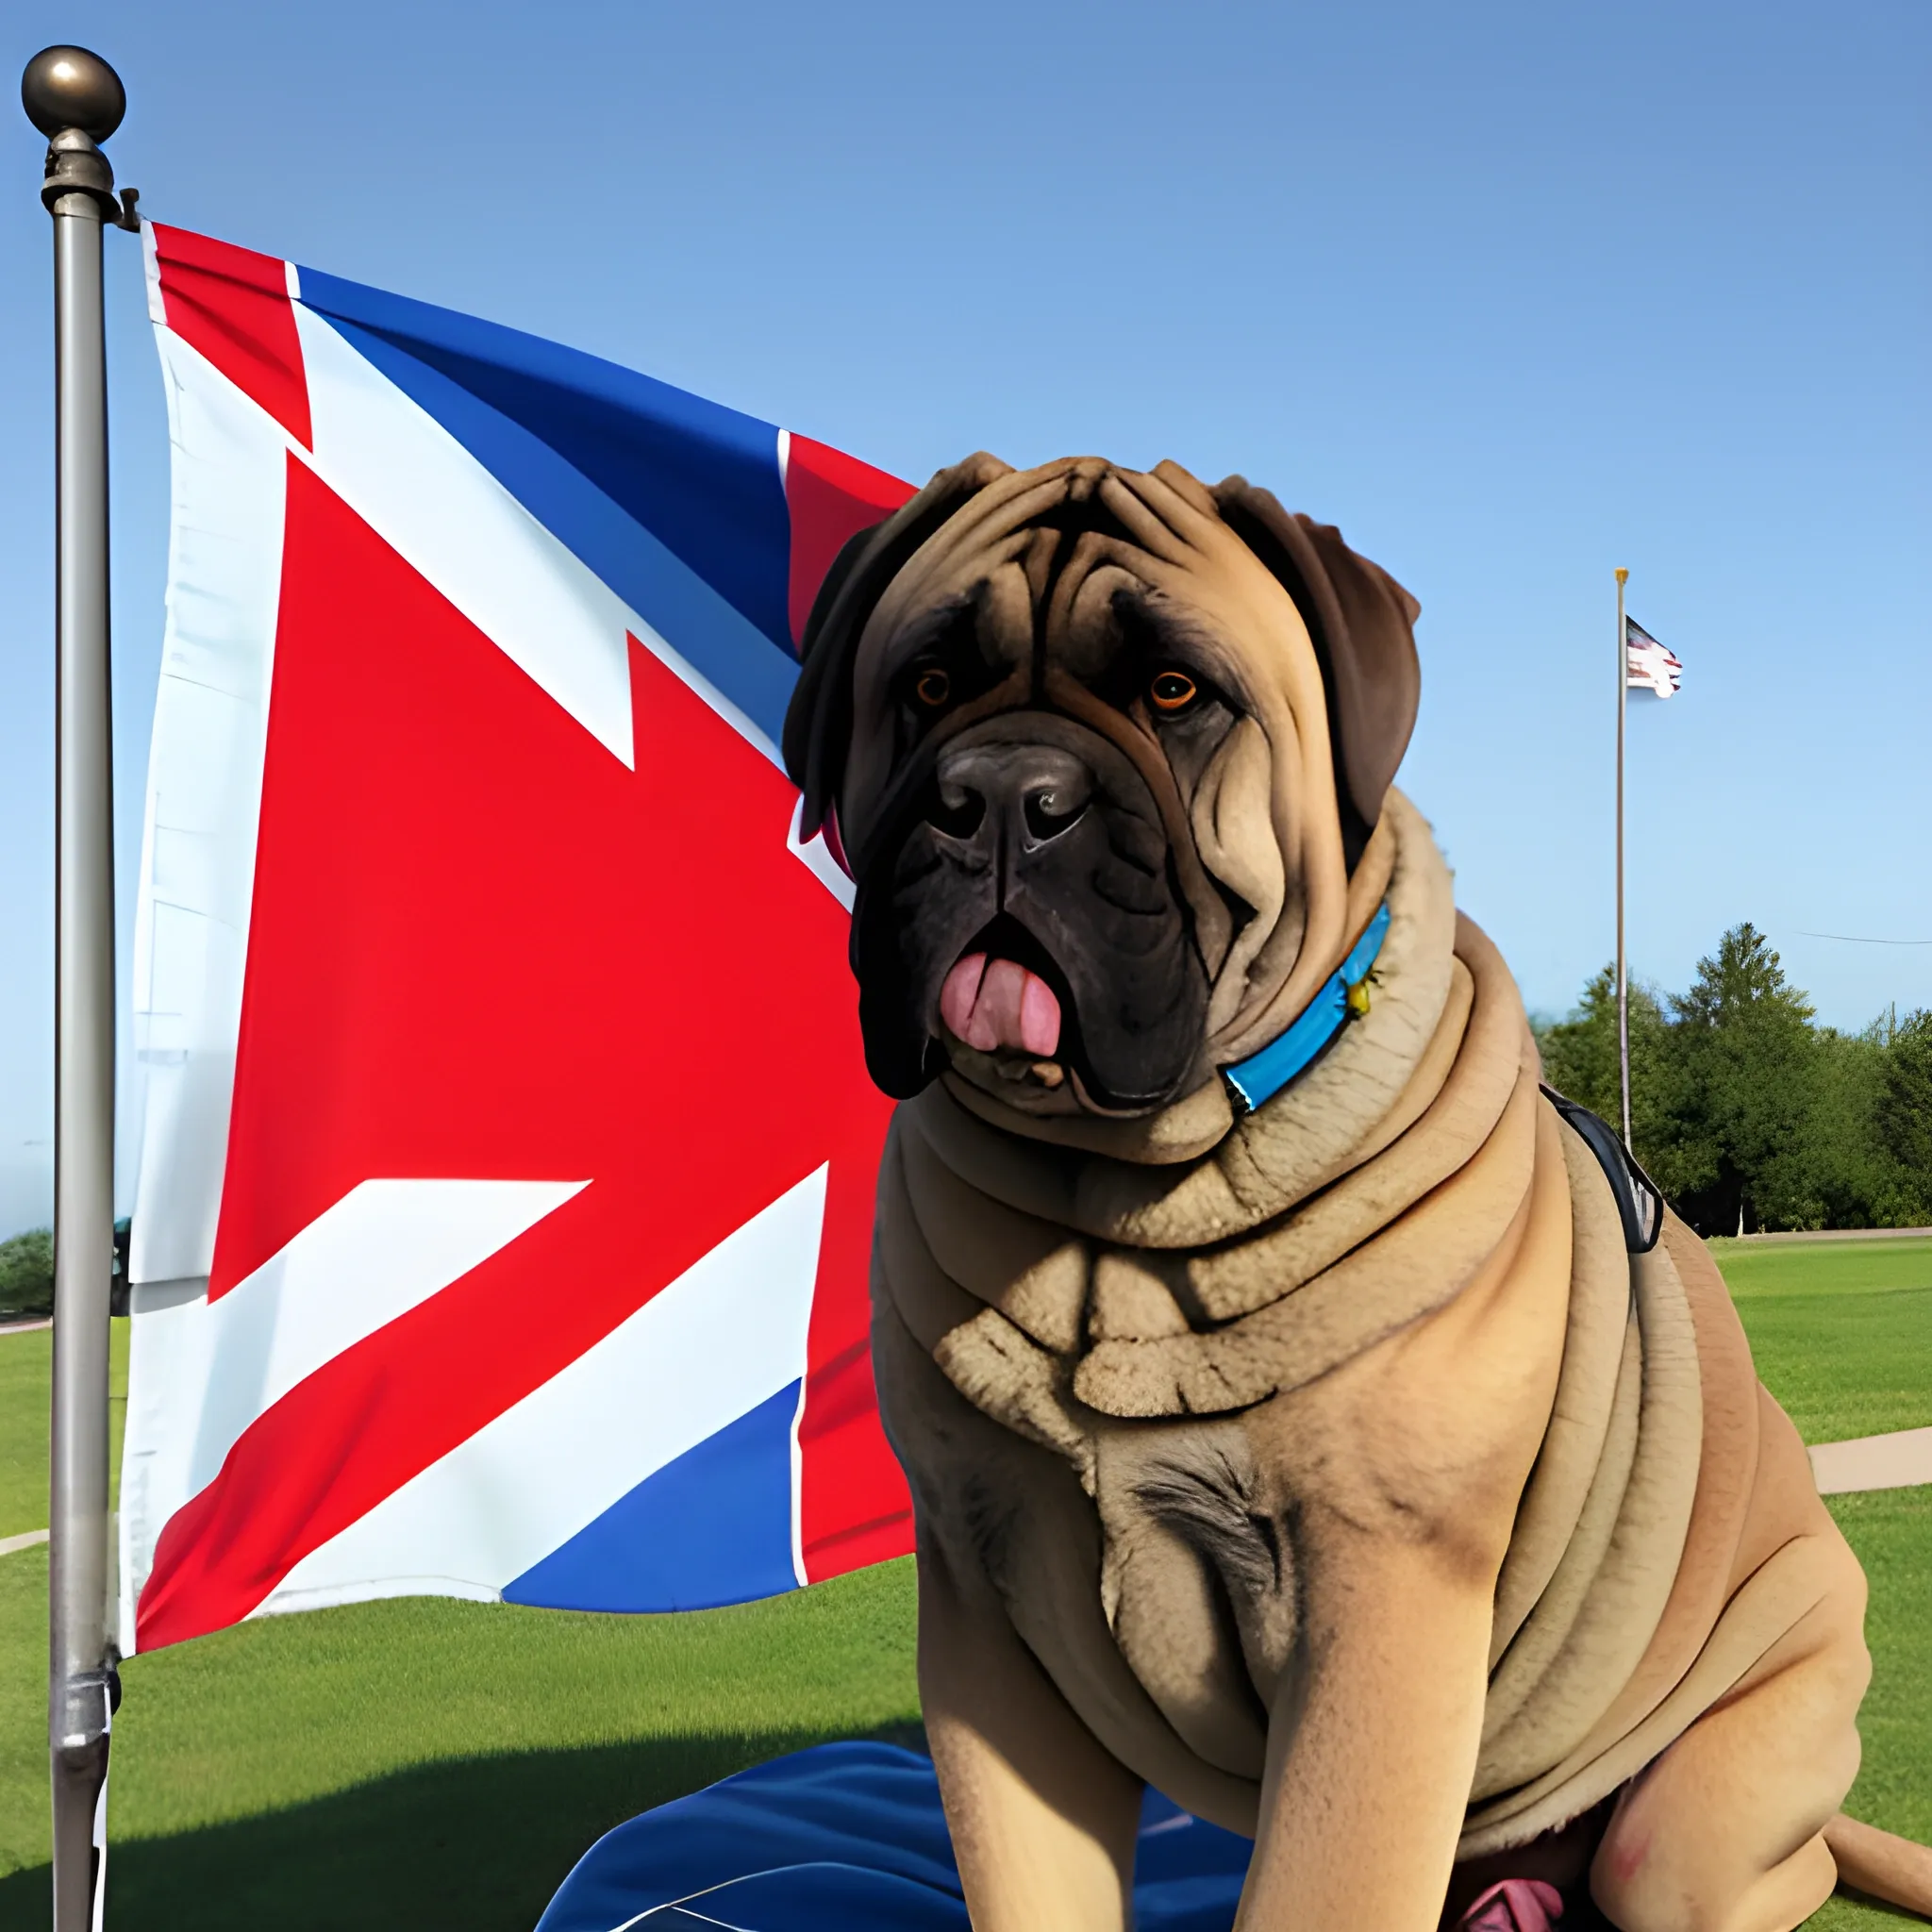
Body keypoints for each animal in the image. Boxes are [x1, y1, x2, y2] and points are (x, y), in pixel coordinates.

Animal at [776, 456, 1924, 1932]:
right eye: (924, 684)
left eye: (1176, 692)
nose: (1002, 796)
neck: (1117, 1210)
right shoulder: (986, 1612)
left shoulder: (1377, 1605)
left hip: (1707, 1805)